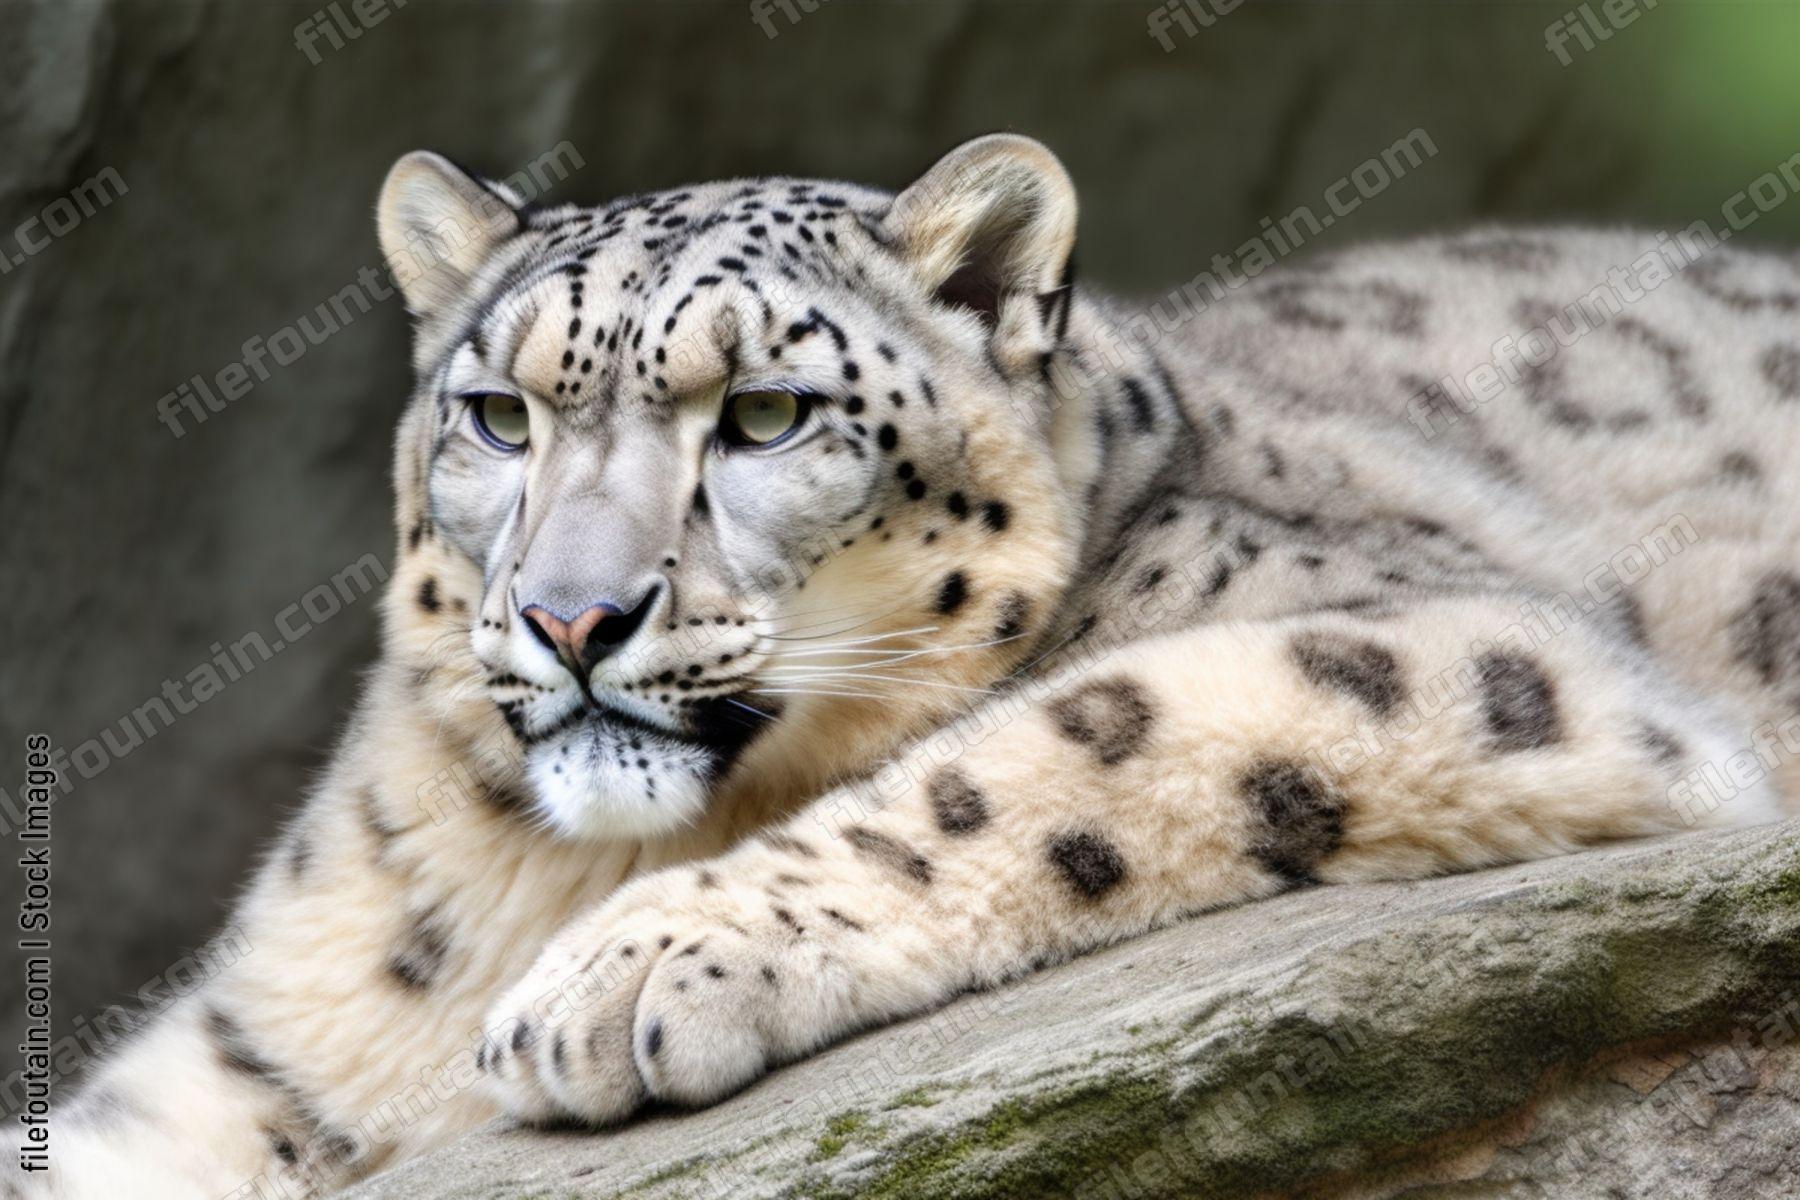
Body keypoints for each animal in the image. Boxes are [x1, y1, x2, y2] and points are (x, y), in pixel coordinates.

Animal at [14, 134, 1798, 1199]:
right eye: (498, 416)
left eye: (762, 415)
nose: (574, 619)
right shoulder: (251, 1042)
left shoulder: (1461, 641)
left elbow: (1051, 743)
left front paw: (622, 977)